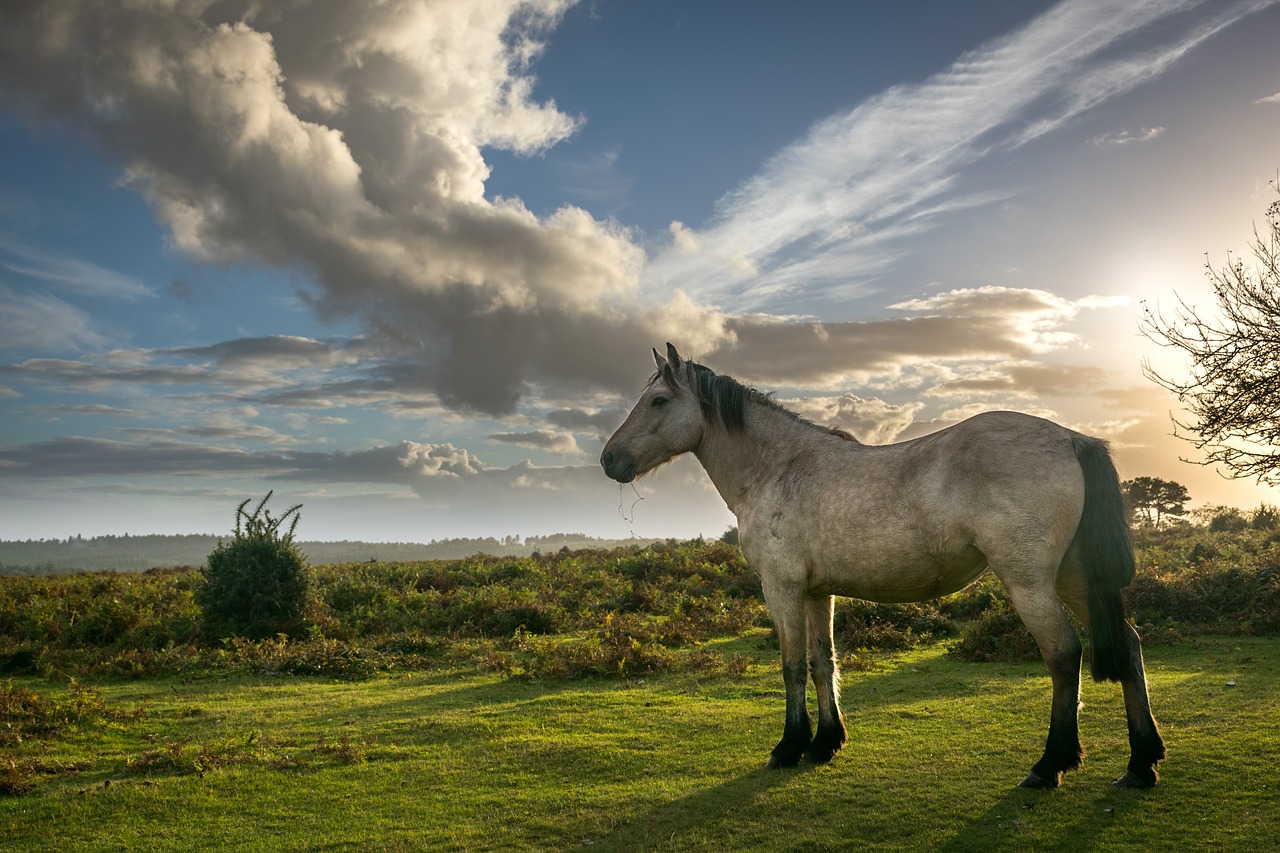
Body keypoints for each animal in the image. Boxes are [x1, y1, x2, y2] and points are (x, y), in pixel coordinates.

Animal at [599, 343, 1172, 788]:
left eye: (658, 400)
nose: (609, 460)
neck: (778, 469)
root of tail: (1071, 438)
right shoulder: (817, 591)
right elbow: (822, 661)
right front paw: (826, 743)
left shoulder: (781, 588)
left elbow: (790, 666)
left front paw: (788, 747)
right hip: (1074, 578)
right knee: (1129, 645)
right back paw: (1140, 764)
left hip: (1029, 582)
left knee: (1063, 654)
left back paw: (1050, 765)